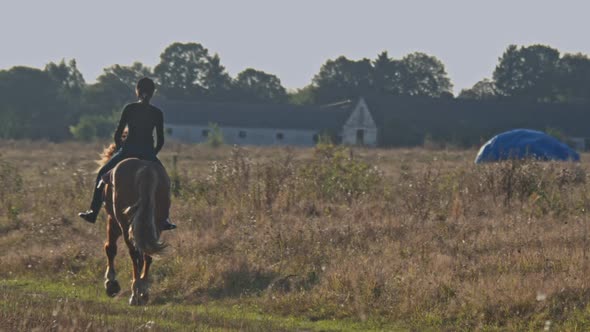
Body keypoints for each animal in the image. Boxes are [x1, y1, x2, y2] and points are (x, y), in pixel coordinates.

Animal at [99, 144, 171, 304]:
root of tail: (145, 169)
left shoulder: (112, 222)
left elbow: (110, 248)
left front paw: (111, 284)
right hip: (156, 224)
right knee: (147, 254)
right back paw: (143, 292)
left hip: (125, 225)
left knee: (134, 253)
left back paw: (135, 293)